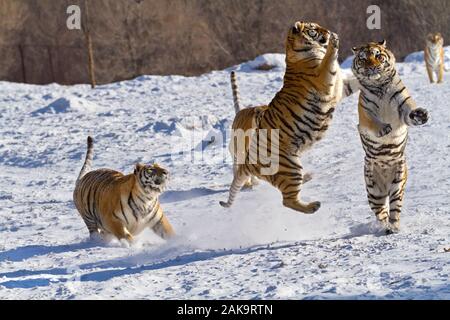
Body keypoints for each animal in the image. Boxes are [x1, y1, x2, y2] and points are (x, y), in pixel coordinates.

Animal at [220, 21, 356, 214]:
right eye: (314, 29)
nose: (328, 32)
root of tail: (249, 163)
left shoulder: (340, 87)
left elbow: (355, 83)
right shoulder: (324, 78)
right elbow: (328, 60)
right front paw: (333, 43)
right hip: (290, 168)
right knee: (288, 201)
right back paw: (313, 206)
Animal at [352, 41, 428, 234]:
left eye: (378, 56)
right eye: (363, 59)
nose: (371, 67)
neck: (380, 87)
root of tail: (386, 187)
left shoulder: (403, 103)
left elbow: (410, 109)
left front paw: (420, 115)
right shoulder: (364, 113)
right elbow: (372, 122)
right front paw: (383, 129)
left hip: (397, 183)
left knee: (394, 208)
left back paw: (393, 227)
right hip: (374, 191)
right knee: (381, 212)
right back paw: (384, 227)